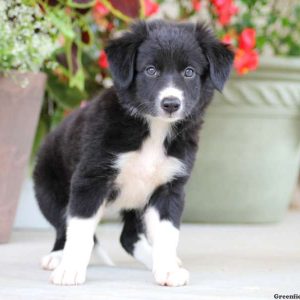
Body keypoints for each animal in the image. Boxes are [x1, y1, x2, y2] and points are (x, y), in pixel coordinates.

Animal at [34, 19, 233, 288]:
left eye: (189, 72)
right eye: (150, 70)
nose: (171, 104)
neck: (153, 128)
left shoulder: (169, 188)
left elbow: (167, 234)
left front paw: (167, 269)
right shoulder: (90, 180)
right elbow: (81, 229)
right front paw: (70, 268)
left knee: (128, 237)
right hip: (49, 190)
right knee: (62, 226)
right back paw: (57, 256)